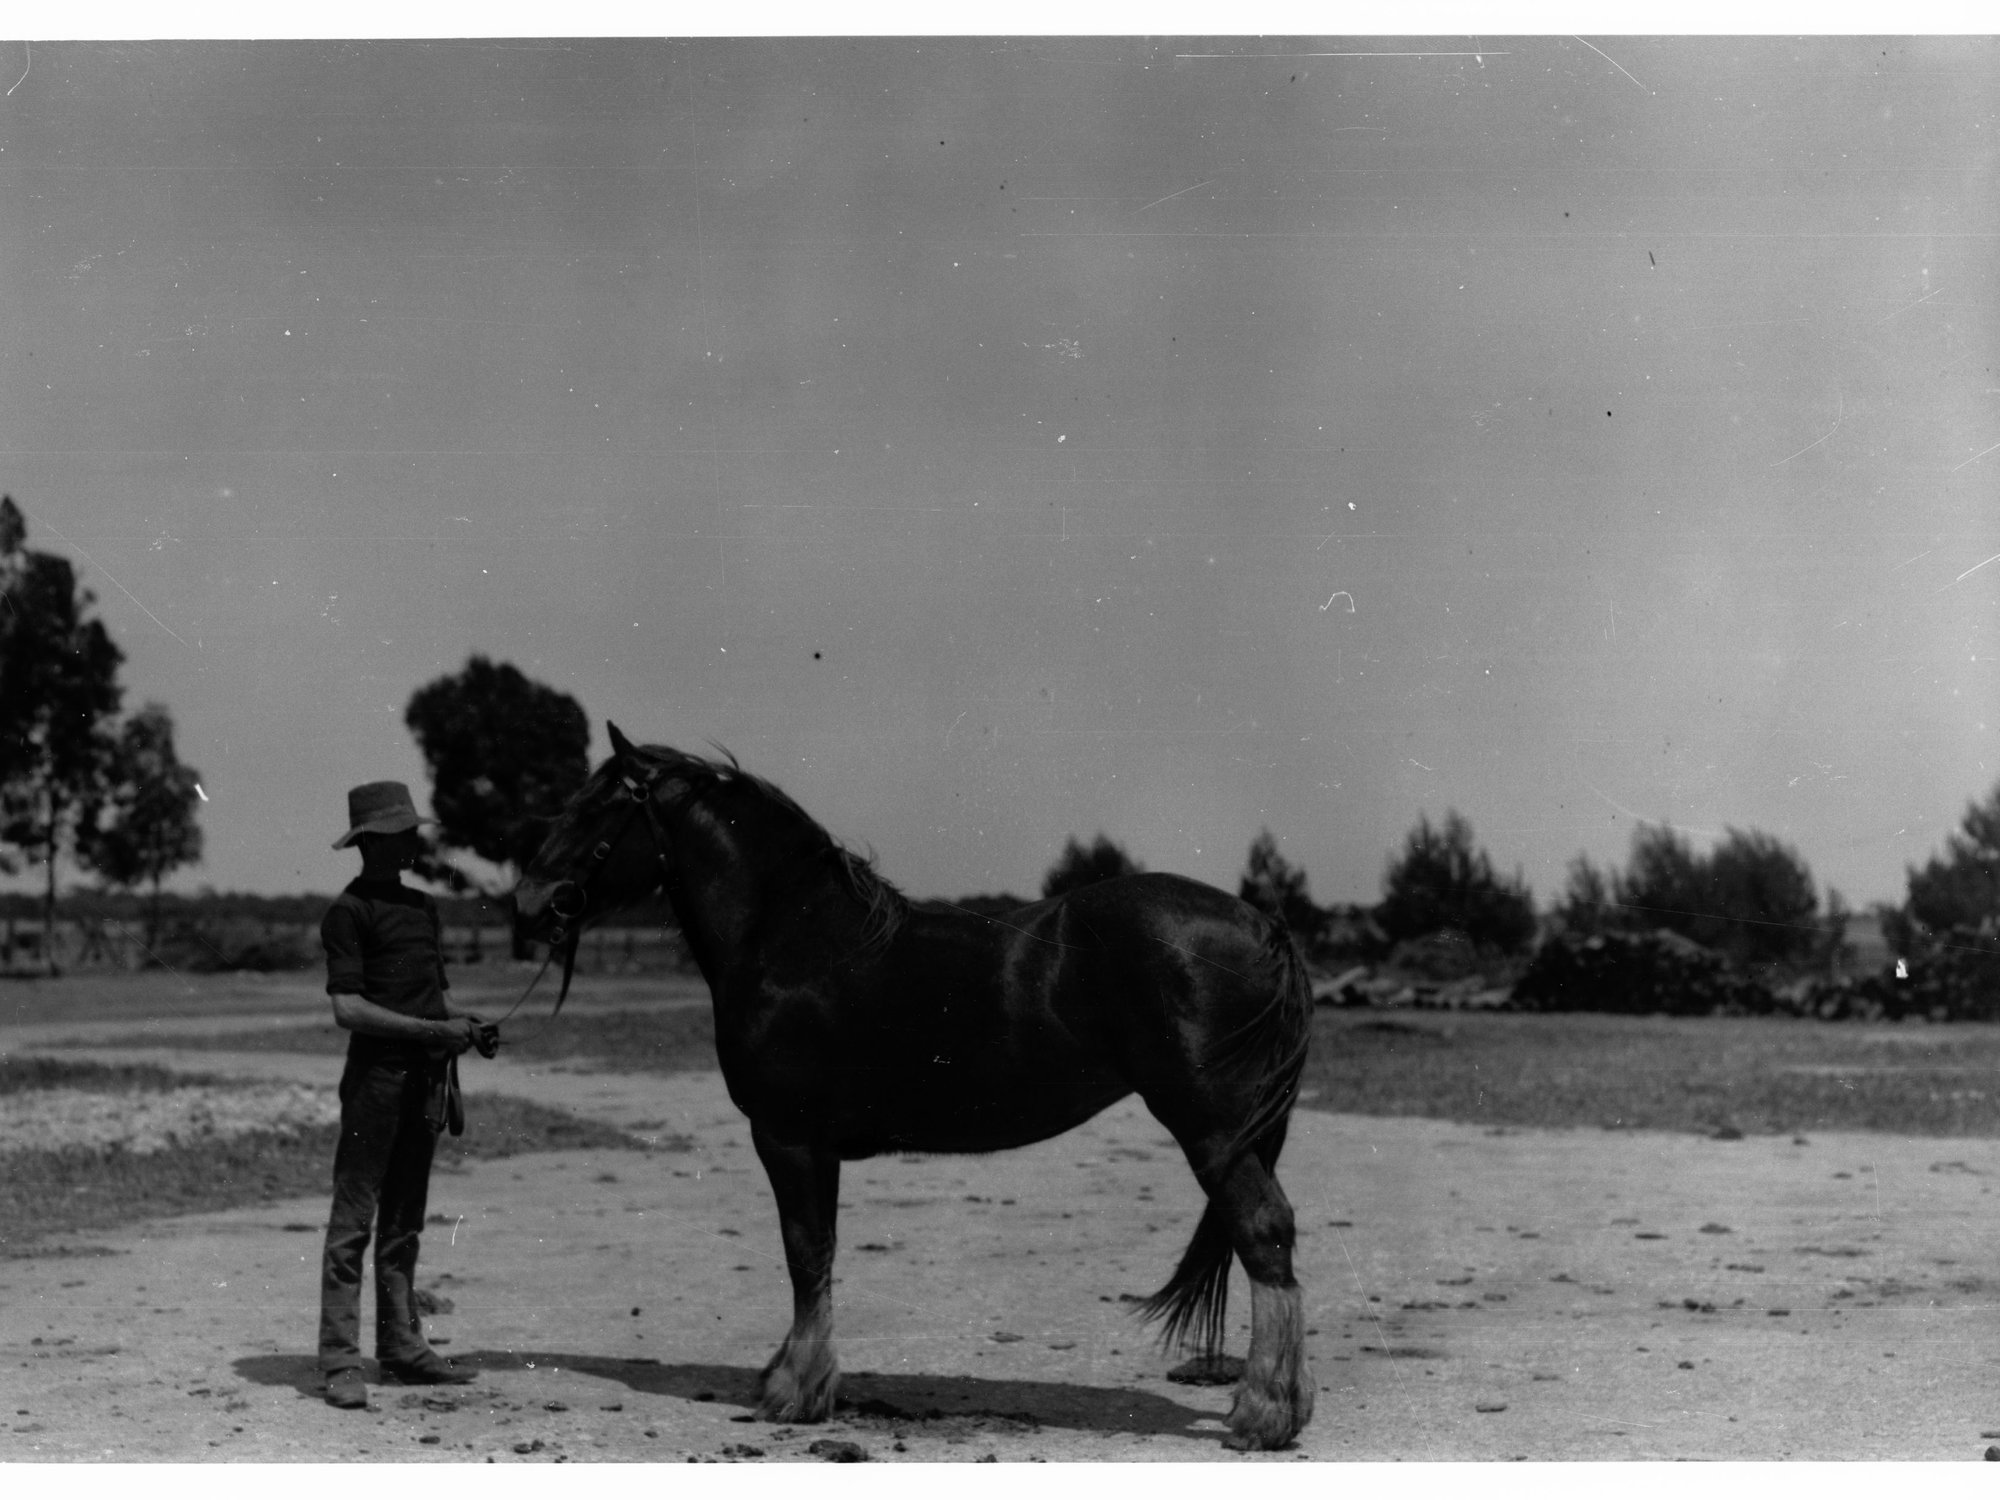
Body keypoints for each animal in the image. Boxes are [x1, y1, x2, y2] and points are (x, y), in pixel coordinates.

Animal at [512, 723, 1316, 1450]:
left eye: (596, 808)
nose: (526, 903)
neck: (796, 938)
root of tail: (1262, 925)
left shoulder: (787, 1137)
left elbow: (806, 1252)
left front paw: (795, 1391)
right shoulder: (813, 1146)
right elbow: (819, 1252)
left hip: (1211, 1131)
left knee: (1264, 1230)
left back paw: (1263, 1415)